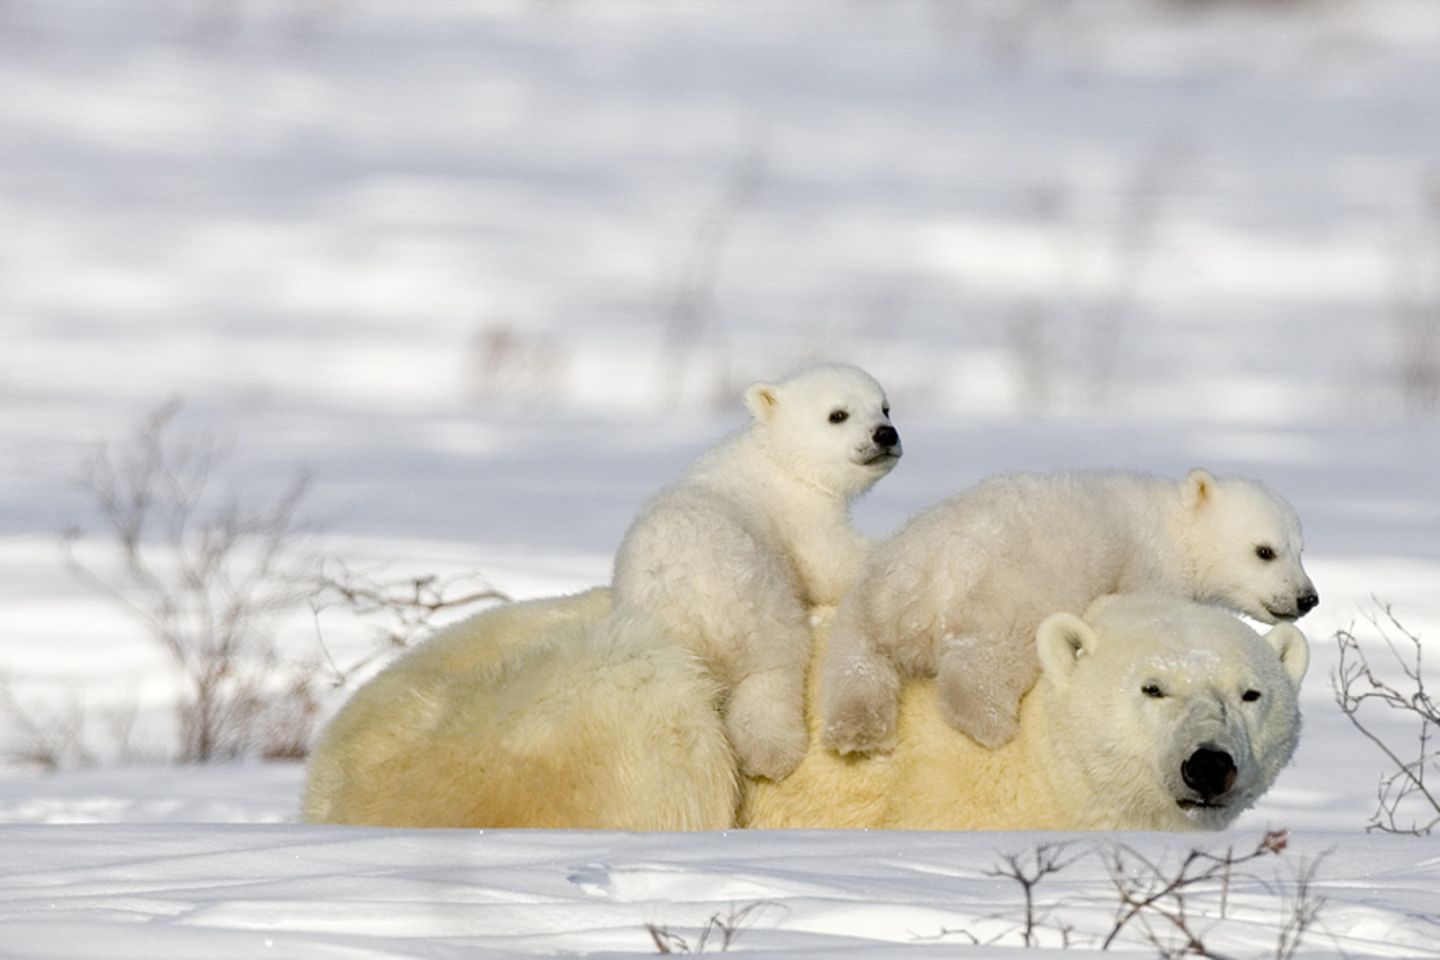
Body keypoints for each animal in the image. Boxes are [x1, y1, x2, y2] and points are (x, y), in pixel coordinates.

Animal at [610, 359, 898, 782]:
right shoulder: (798, 510)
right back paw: (773, 753)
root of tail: (687, 615)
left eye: (884, 407)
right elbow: (831, 562)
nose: (886, 434)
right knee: (773, 666)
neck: (775, 456)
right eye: (838, 415)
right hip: (755, 596)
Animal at [823, 466, 1319, 759]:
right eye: (1265, 551)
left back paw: (856, 734)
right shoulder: (1147, 566)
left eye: (1301, 549)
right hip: (1014, 589)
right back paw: (989, 723)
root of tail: (929, 579)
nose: (1307, 598)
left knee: (857, 661)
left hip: (874, 595)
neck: (1173, 526)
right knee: (986, 656)